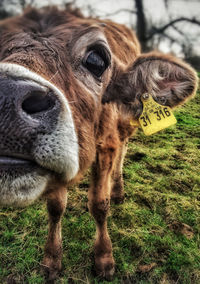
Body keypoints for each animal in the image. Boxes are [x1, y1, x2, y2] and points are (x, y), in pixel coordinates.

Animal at [0, 5, 198, 280]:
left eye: (96, 60)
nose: (6, 96)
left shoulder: (107, 146)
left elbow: (99, 205)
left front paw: (104, 259)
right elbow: (55, 207)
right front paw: (52, 260)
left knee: (123, 153)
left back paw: (118, 189)